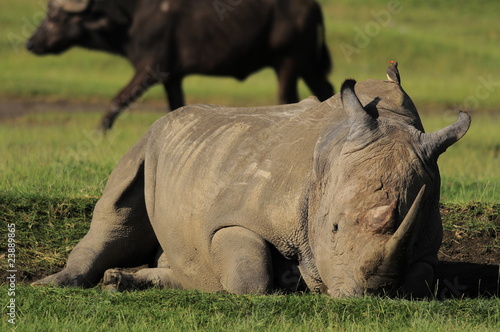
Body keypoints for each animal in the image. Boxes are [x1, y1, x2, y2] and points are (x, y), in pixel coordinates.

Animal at [26, 0, 332, 130]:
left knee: (287, 96)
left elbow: (119, 98)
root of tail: (311, 5)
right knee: (325, 88)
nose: (31, 43)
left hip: (288, 62)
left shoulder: (149, 69)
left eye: (55, 18)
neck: (132, 18)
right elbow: (175, 106)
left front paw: (100, 130)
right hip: (307, 64)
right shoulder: (172, 77)